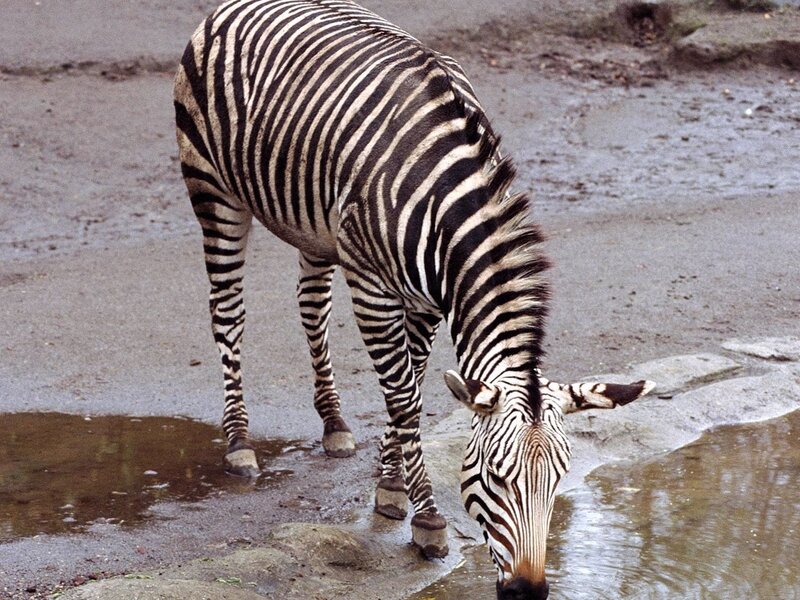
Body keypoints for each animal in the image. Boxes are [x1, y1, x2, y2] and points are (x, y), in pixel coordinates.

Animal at [174, 1, 654, 597]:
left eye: (559, 480)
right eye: (495, 478)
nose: (527, 591)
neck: (445, 205)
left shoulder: (424, 299)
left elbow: (410, 386)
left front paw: (390, 487)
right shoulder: (373, 287)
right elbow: (402, 396)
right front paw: (425, 518)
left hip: (315, 227)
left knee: (311, 306)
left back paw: (334, 423)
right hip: (213, 192)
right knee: (228, 312)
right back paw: (239, 440)